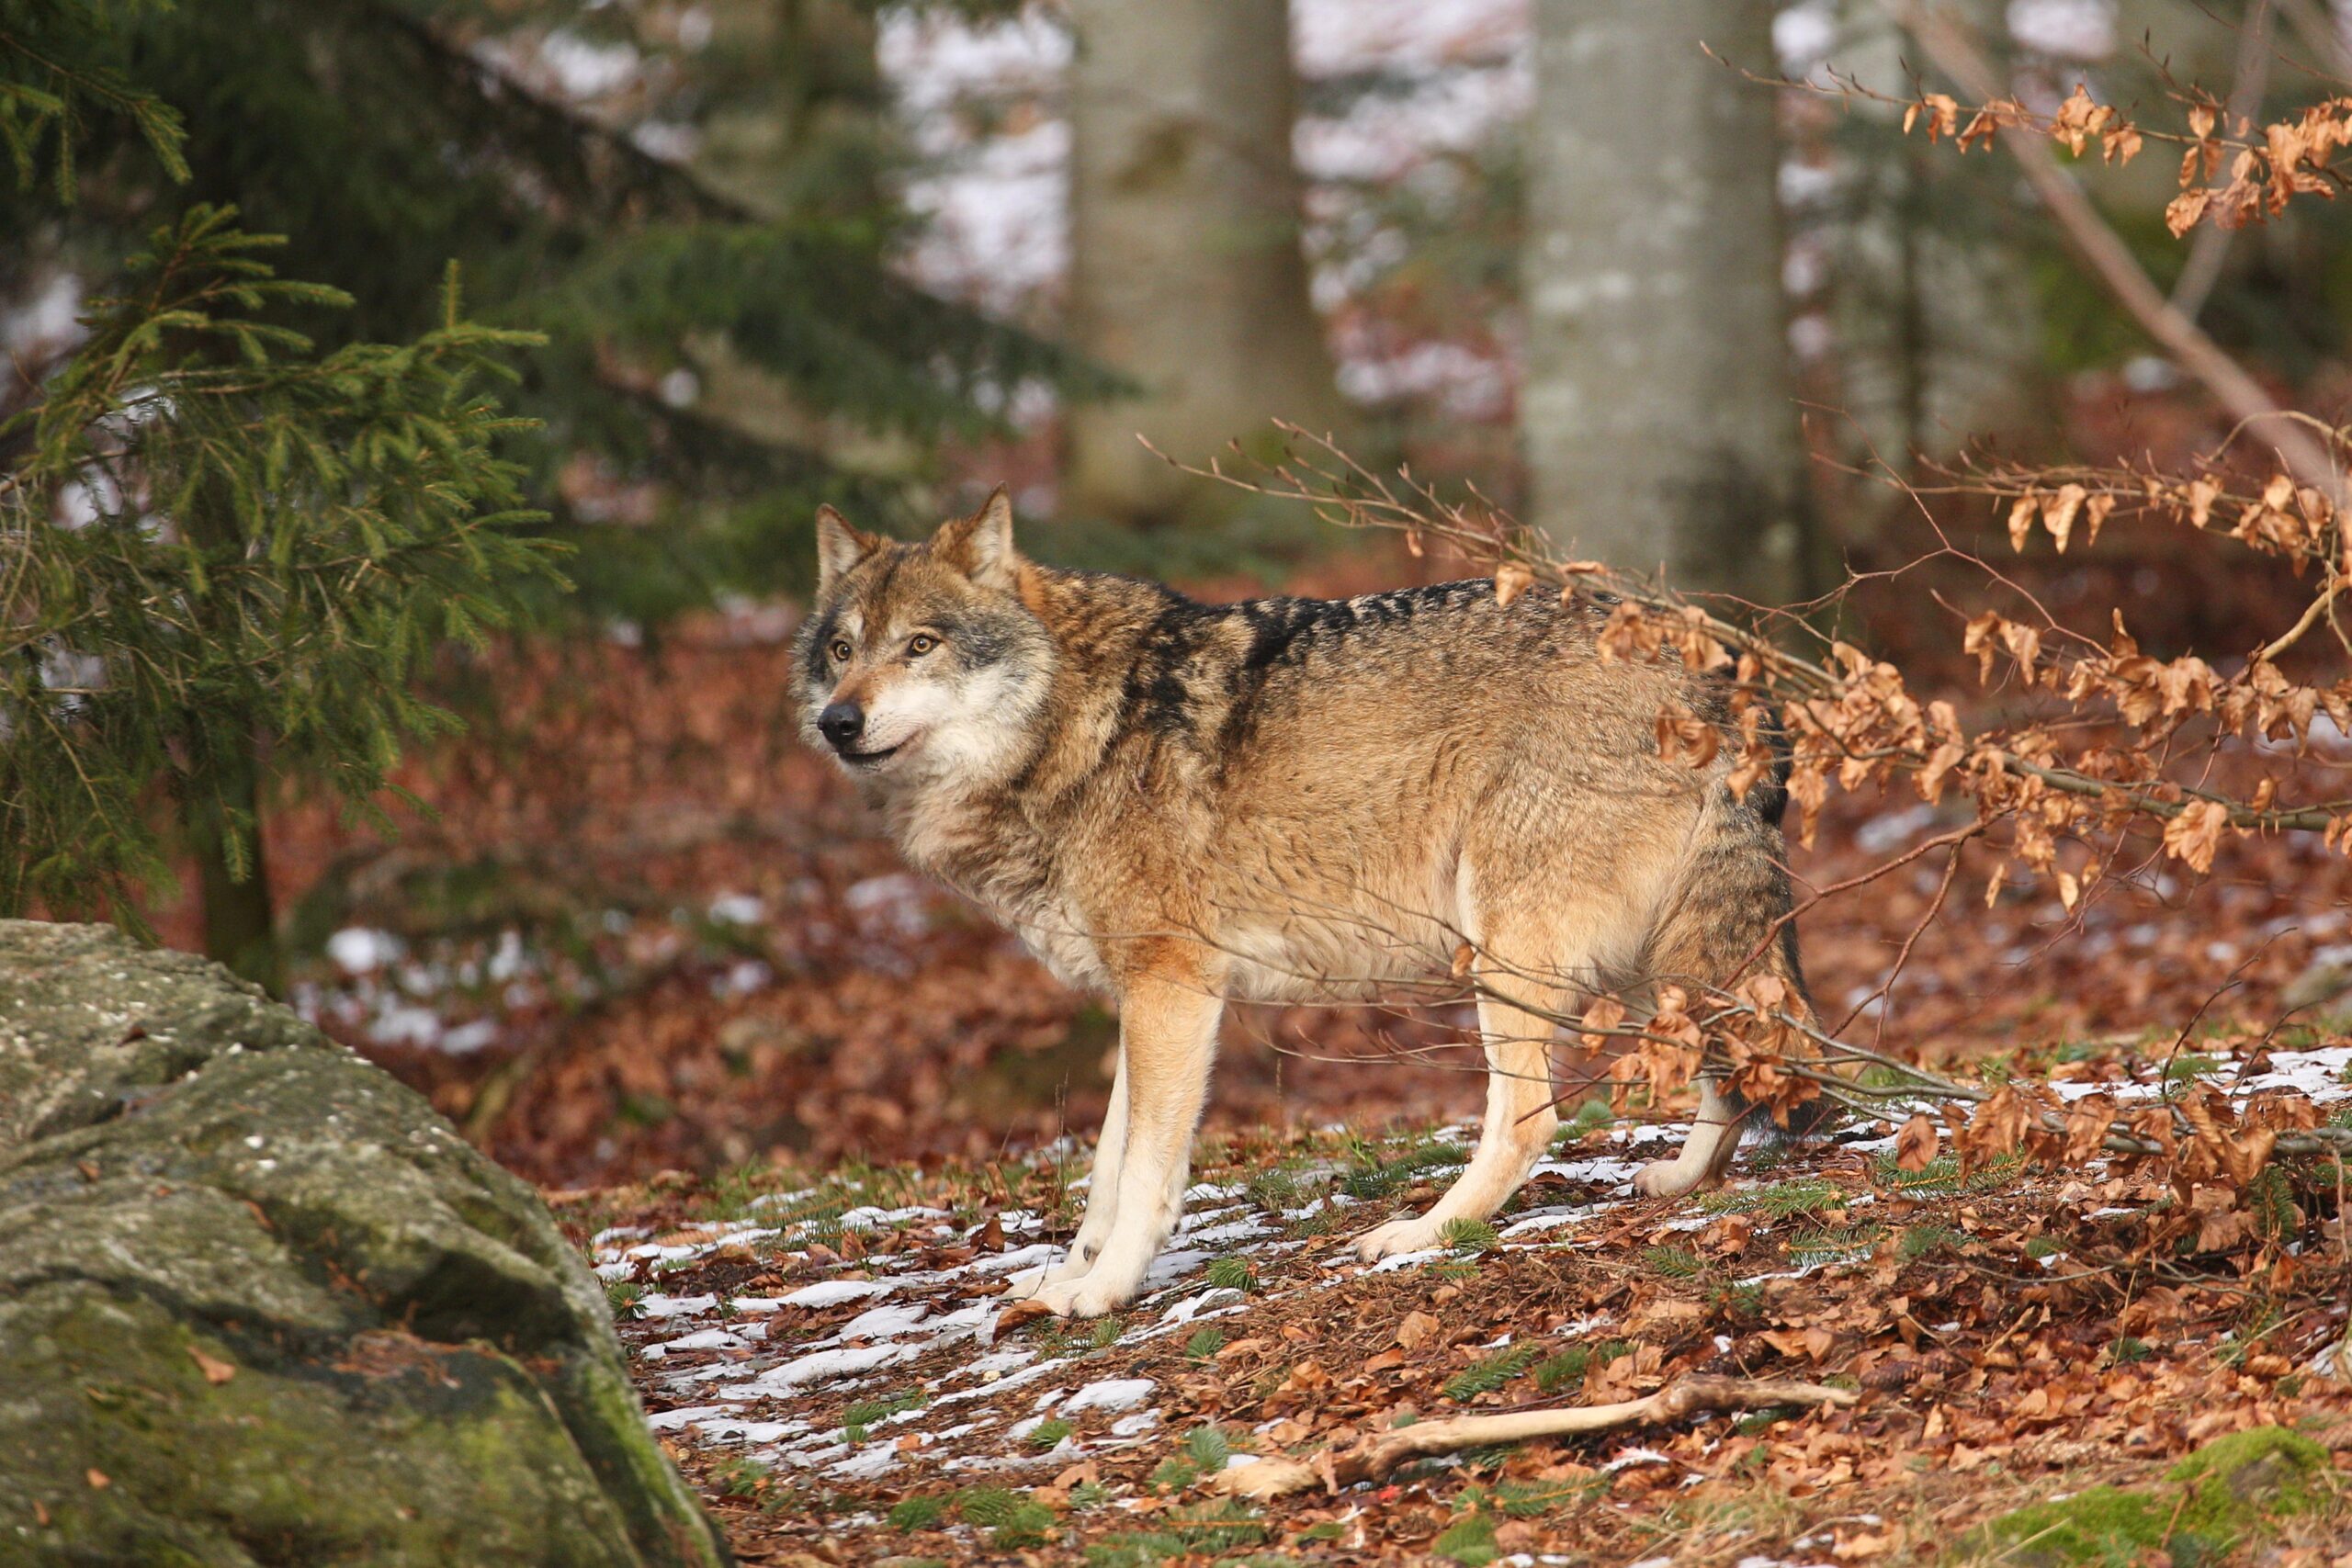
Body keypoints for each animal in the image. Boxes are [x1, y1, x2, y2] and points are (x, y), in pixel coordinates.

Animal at [797, 488, 1815, 1317]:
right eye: (843, 650)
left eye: (920, 645)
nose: (838, 722)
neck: (1080, 726)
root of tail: (1720, 666)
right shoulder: (1145, 992)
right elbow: (1104, 1166)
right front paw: (1068, 1275)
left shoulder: (1172, 987)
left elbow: (1144, 1171)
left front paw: (1107, 1289)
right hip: (1651, 955)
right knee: (1739, 1053)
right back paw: (1683, 1177)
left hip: (1510, 951)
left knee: (1531, 1119)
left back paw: (1420, 1235)